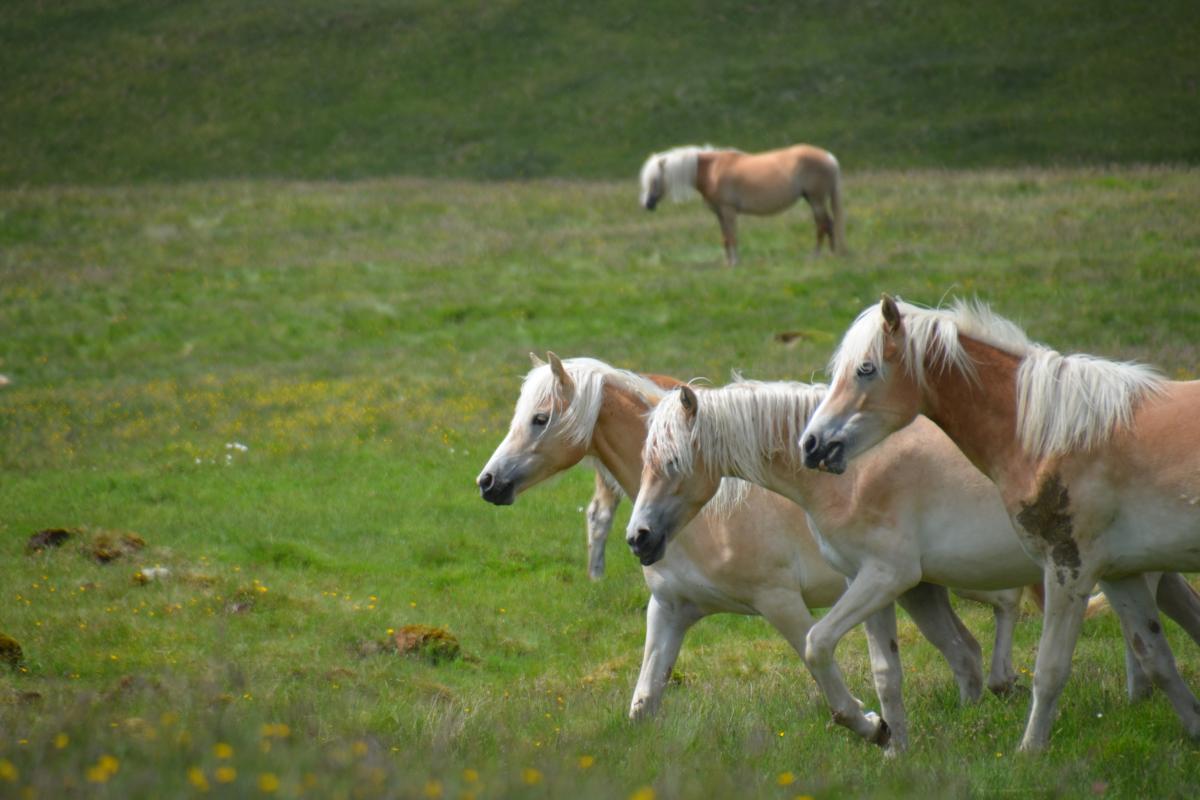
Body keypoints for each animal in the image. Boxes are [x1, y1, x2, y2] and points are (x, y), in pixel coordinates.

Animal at [477, 352, 1022, 748]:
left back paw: (1004, 685)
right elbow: (644, 702)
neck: (709, 516)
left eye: (540, 419)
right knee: (963, 651)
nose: (487, 483)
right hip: (921, 588)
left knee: (1005, 605)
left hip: (954, 576)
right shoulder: (670, 609)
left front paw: (872, 725)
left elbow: (821, 664)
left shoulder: (779, 601)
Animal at [633, 379, 1108, 748]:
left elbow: (817, 646)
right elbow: (885, 672)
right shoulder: (878, 584)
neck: (852, 472)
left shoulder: (880, 578)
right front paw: (892, 746)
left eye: (672, 461)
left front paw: (867, 725)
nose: (638, 538)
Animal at [638, 143, 844, 266]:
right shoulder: (719, 213)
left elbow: (733, 237)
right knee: (828, 224)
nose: (647, 205)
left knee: (823, 225)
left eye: (655, 180)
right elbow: (725, 238)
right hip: (812, 199)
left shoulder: (729, 211)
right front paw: (728, 263)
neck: (712, 171)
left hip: (816, 200)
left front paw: (735, 263)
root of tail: (829, 157)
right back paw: (833, 253)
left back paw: (817, 256)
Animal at [796, 293, 1200, 753]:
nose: (811, 444)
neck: (1051, 436)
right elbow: (1157, 657)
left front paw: (1030, 751)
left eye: (865, 368)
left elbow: (1050, 669)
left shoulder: (1068, 569)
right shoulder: (1120, 574)